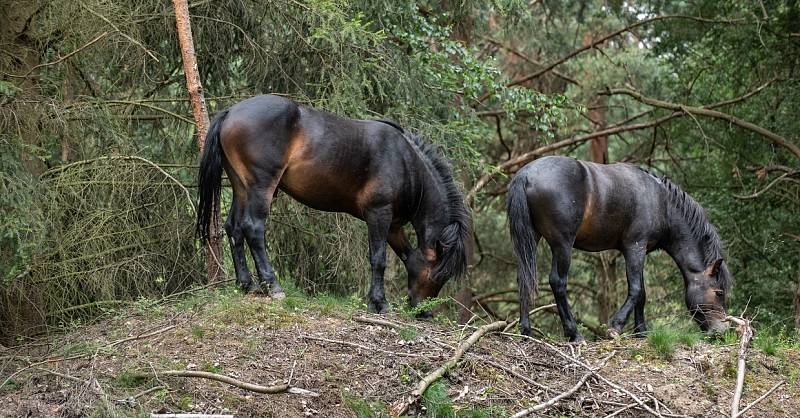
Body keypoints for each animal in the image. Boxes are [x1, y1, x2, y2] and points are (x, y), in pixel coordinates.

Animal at [195, 94, 468, 314]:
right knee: (253, 228)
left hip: (241, 187)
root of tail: (232, 112)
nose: (424, 311)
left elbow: (404, 256)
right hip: (261, 186)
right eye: (440, 273)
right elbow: (378, 259)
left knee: (234, 228)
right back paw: (273, 286)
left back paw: (246, 283)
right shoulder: (379, 214)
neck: (406, 163)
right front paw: (378, 303)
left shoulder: (393, 226)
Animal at [510, 155, 728, 342]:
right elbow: (636, 289)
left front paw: (641, 332)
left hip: (531, 240)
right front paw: (616, 326)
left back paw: (526, 332)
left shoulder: (639, 251)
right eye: (719, 293)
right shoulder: (635, 247)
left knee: (524, 279)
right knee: (558, 282)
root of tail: (526, 175)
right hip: (563, 244)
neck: (662, 203)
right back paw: (574, 334)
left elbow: (642, 294)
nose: (723, 331)